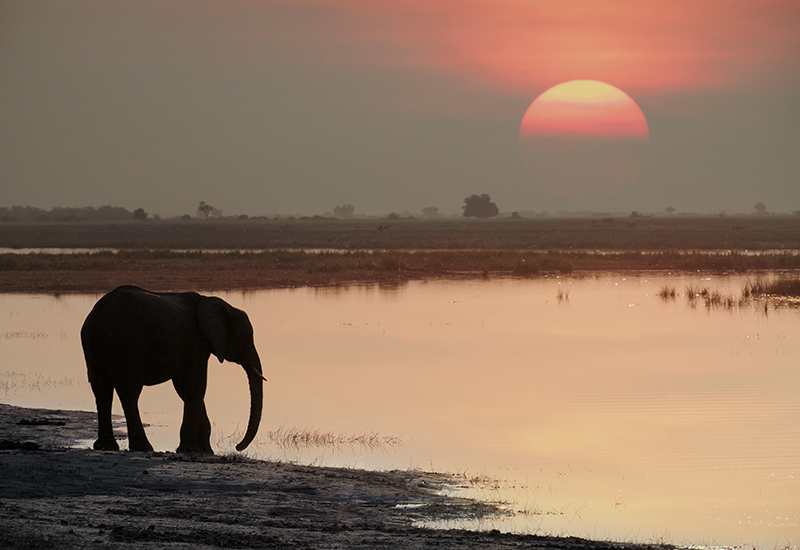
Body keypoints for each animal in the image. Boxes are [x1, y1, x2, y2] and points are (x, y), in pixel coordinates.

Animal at [80, 285, 265, 454]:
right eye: (247, 337)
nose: (237, 447)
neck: (218, 303)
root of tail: (98, 316)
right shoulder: (197, 342)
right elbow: (195, 386)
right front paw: (189, 450)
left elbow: (184, 388)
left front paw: (205, 451)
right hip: (126, 343)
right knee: (129, 391)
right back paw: (143, 448)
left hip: (93, 345)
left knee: (101, 389)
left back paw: (105, 447)